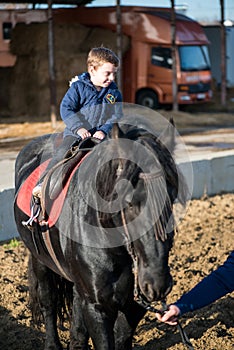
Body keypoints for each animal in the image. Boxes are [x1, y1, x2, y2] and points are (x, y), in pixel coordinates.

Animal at [13, 122, 186, 348]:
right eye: (129, 202)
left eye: (171, 197)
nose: (156, 284)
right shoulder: (97, 307)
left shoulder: (132, 307)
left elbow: (119, 337)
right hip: (40, 261)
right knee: (48, 302)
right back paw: (52, 344)